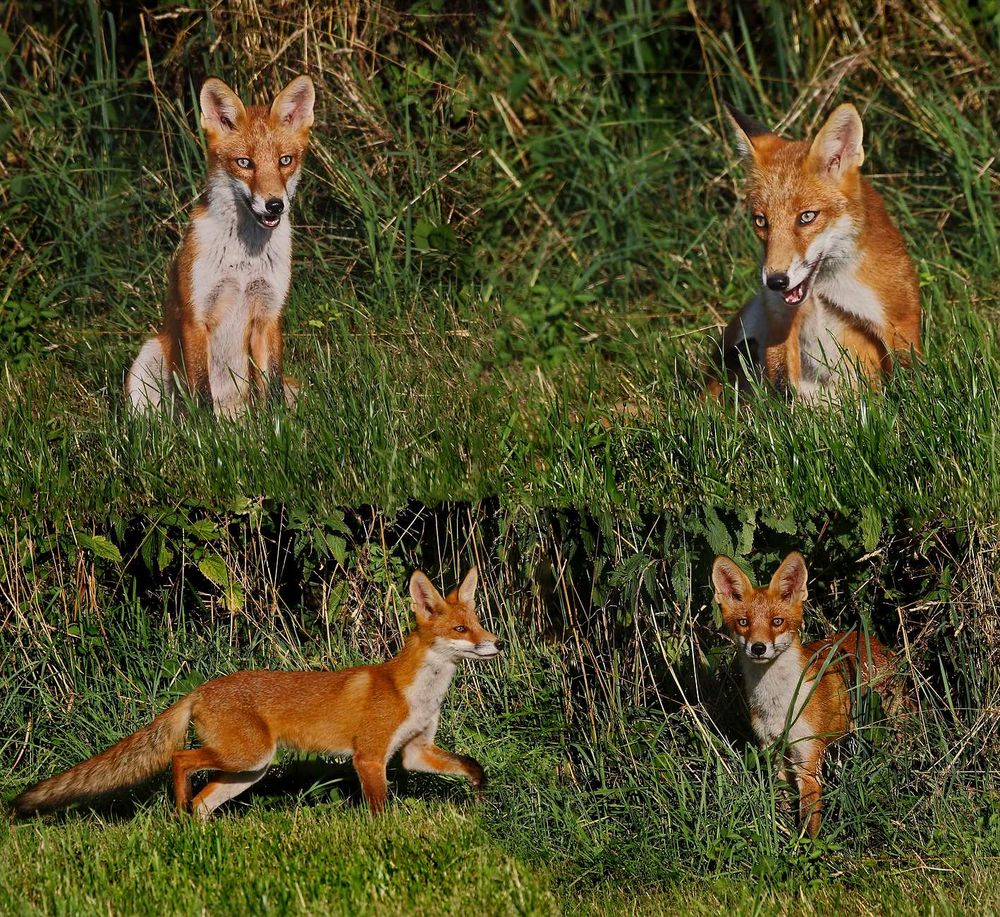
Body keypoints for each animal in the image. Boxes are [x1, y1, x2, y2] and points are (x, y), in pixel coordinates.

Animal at [13, 568, 498, 820]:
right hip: (246, 756)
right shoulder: (370, 756)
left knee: (204, 800)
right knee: (180, 760)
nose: (497, 644)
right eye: (461, 630)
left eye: (478, 624)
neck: (416, 692)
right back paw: (178, 809)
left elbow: (470, 765)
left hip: (249, 769)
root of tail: (201, 688)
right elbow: (380, 808)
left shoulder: (416, 751)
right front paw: (384, 837)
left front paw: (478, 791)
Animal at [712, 102, 920, 398]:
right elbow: (782, 391)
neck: (822, 293)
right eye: (761, 221)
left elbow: (909, 381)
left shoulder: (897, 319)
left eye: (807, 217)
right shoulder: (779, 322)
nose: (776, 281)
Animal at [712, 552, 916, 836]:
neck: (778, 704)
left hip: (894, 725)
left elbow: (809, 825)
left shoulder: (808, 763)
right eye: (743, 622)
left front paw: (806, 847)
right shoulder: (774, 754)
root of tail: (875, 641)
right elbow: (782, 806)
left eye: (777, 622)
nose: (759, 647)